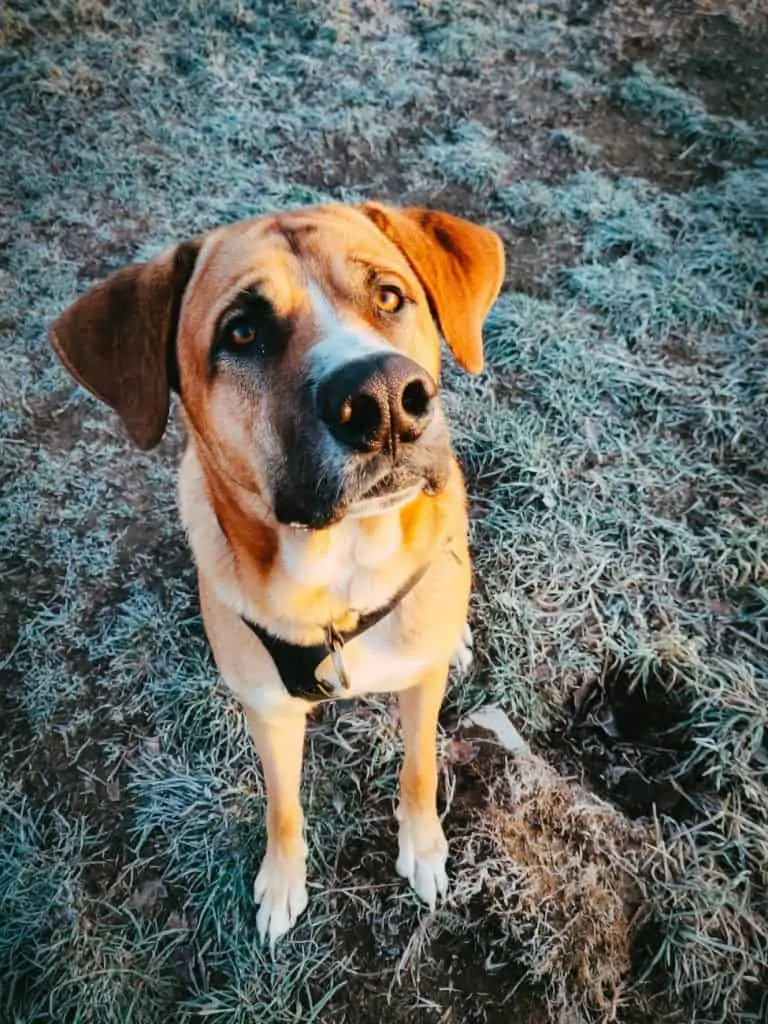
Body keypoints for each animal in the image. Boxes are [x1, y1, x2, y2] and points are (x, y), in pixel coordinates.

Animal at [48, 201, 505, 942]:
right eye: (243, 332)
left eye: (388, 296)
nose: (383, 399)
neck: (341, 582)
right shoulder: (270, 710)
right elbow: (283, 804)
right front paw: (283, 883)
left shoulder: (418, 685)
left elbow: (418, 768)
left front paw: (424, 848)